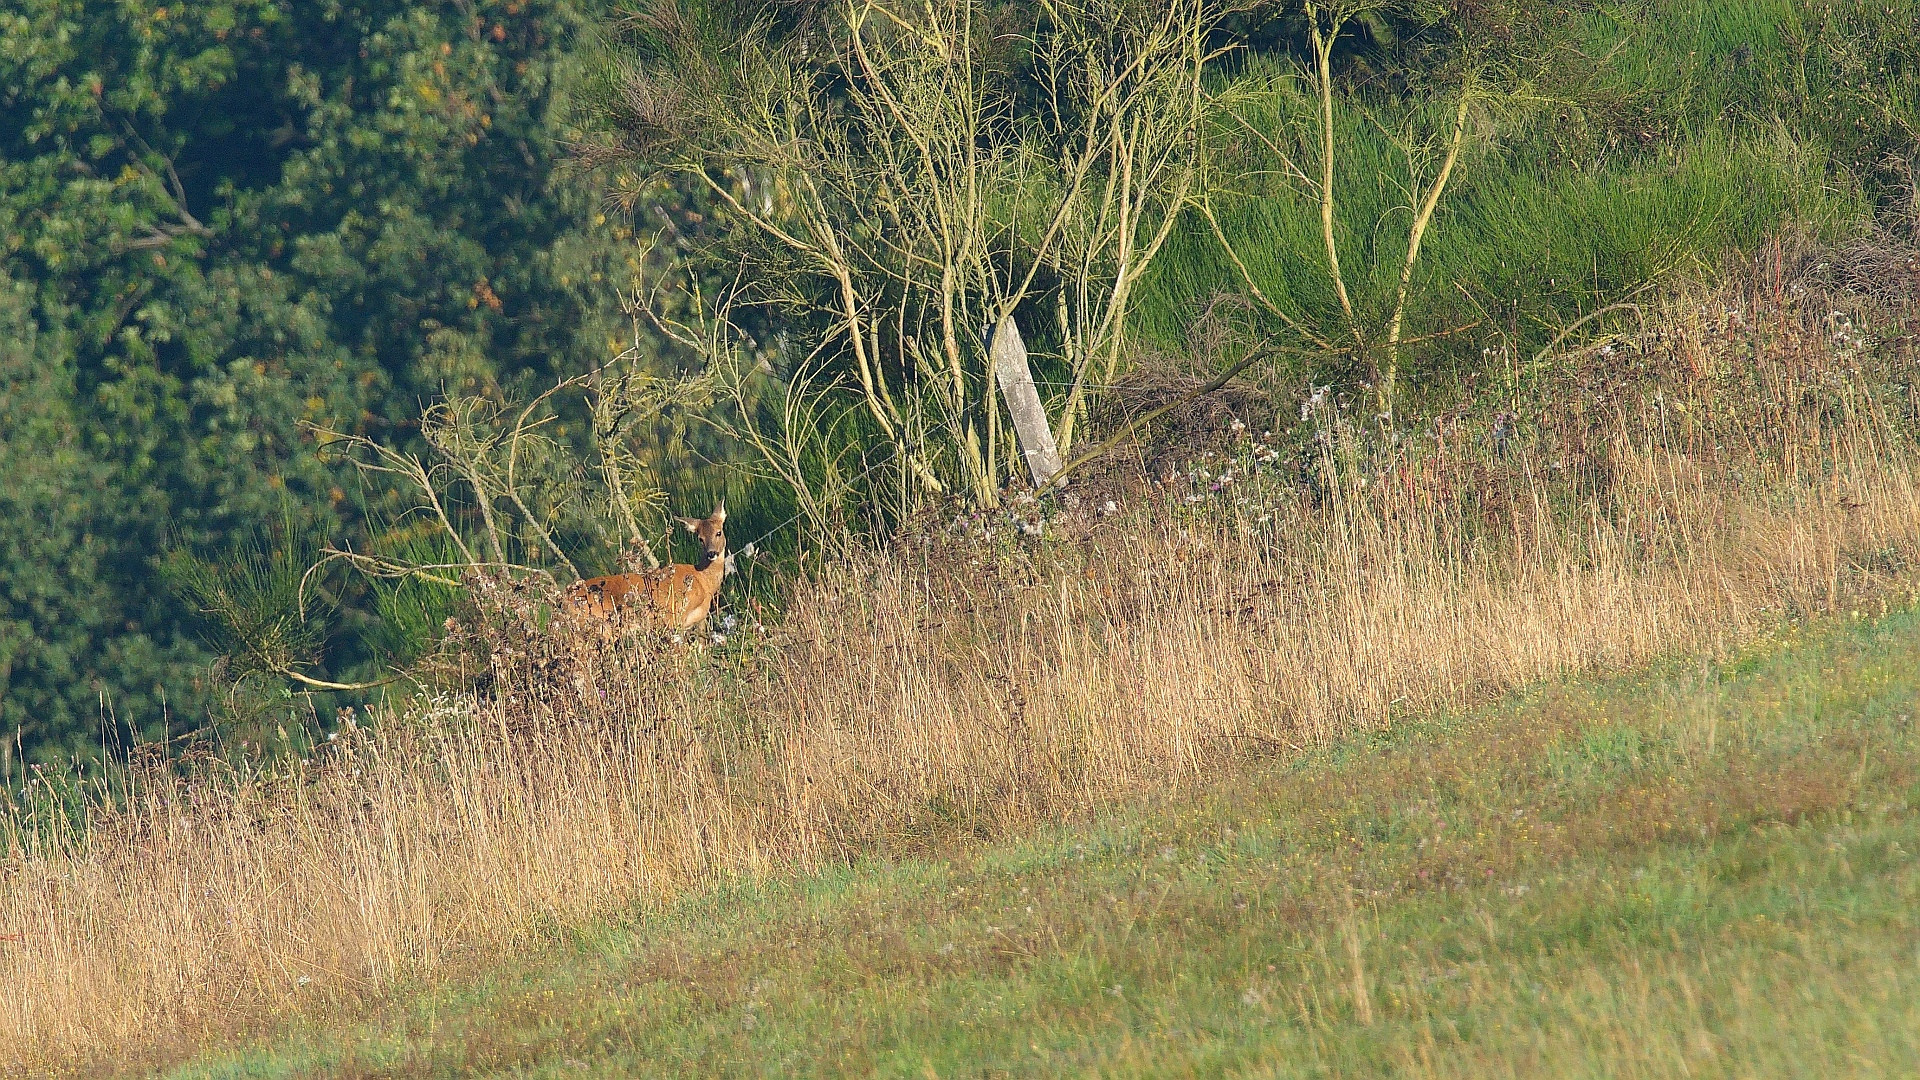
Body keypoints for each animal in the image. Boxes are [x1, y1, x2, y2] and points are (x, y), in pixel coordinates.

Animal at [564, 503, 729, 626]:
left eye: (718, 532)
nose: (711, 553)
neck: (703, 580)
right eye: (700, 538)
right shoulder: (674, 616)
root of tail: (566, 599)